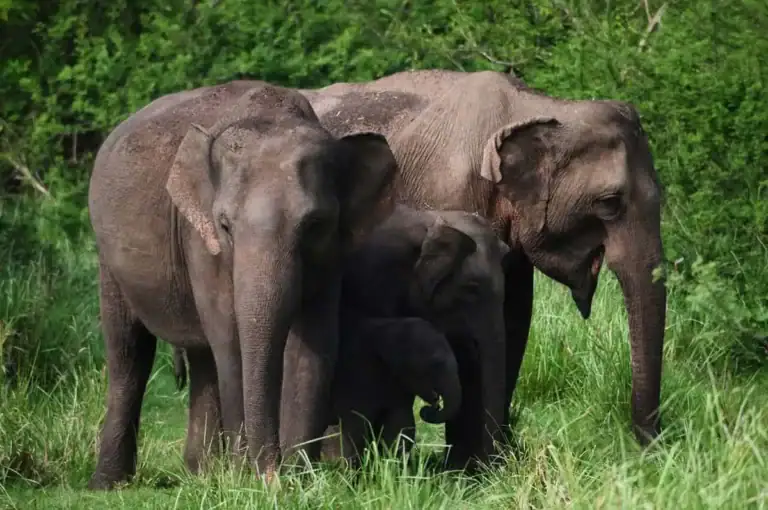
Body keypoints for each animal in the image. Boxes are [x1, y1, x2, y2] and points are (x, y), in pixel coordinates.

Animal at [86, 80, 398, 488]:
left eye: (315, 224)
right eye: (225, 224)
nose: (270, 472)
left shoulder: (332, 253)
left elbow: (314, 344)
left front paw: (297, 480)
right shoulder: (200, 237)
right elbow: (230, 334)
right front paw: (247, 479)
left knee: (201, 357)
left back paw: (202, 474)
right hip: (108, 256)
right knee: (127, 352)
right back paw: (109, 484)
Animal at [321, 315, 461, 465]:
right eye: (436, 364)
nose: (433, 406)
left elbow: (400, 422)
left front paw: (391, 463)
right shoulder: (356, 373)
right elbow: (354, 422)